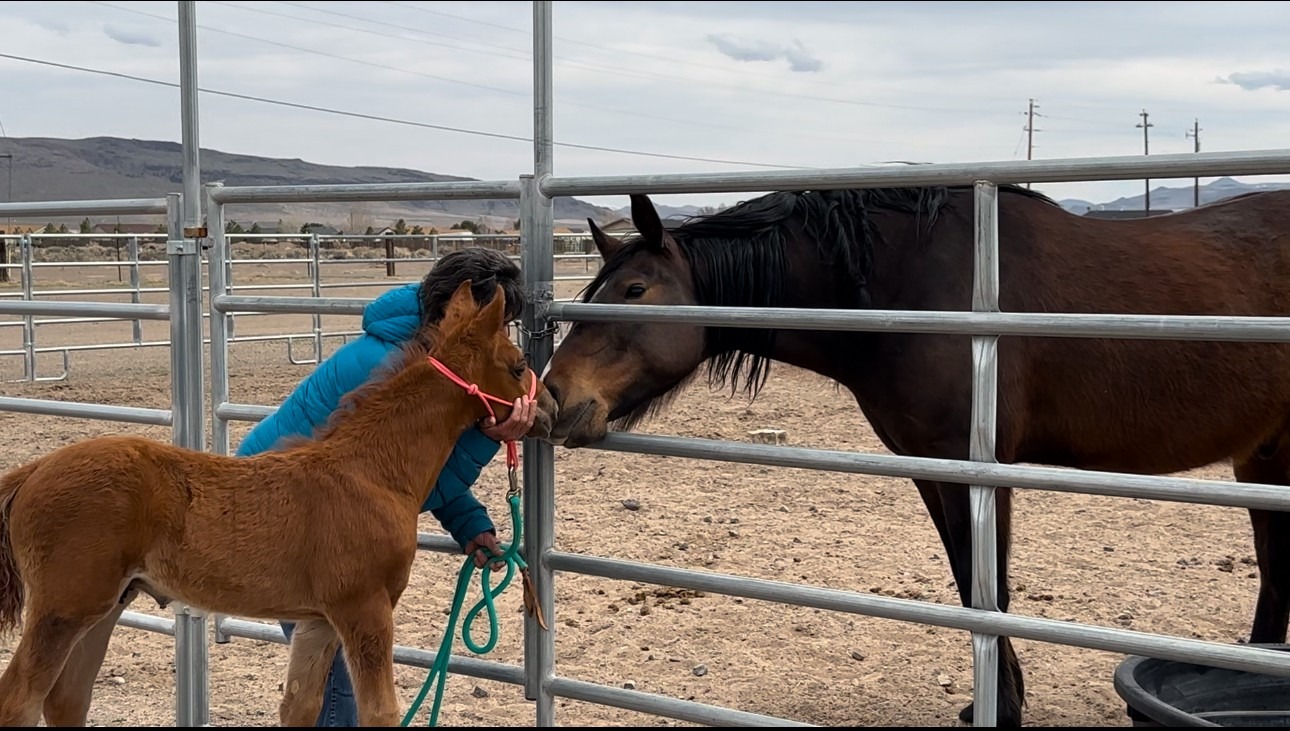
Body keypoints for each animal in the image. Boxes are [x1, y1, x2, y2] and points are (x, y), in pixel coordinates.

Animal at [0, 279, 557, 727]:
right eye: (519, 365)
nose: (550, 409)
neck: (372, 474)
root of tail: (33, 471)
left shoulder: (317, 622)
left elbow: (300, 706)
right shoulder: (365, 609)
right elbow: (379, 712)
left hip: (105, 607)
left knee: (66, 700)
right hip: (63, 609)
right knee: (20, 700)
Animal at [539, 186, 1290, 726]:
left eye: (635, 291)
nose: (552, 395)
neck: (910, 285)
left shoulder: (979, 470)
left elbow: (990, 590)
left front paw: (1002, 709)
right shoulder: (932, 469)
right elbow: (966, 583)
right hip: (1261, 457)